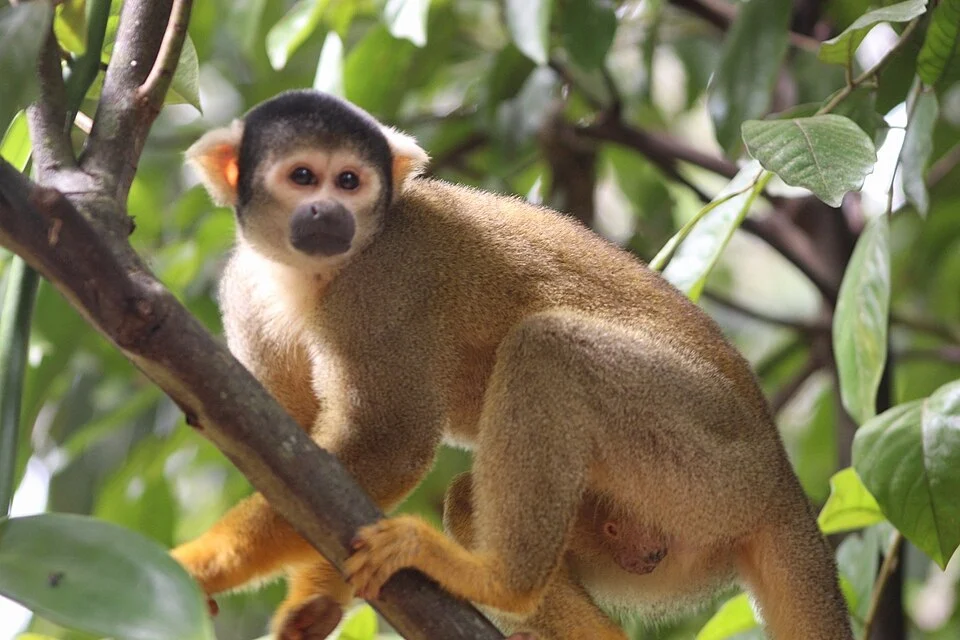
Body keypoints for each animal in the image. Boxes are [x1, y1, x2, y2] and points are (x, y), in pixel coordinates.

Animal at [172, 89, 853, 640]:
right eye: (302, 176)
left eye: (349, 182)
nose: (327, 214)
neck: (307, 275)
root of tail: (782, 482)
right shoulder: (244, 290)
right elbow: (291, 459)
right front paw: (317, 598)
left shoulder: (385, 283)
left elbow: (388, 444)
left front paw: (201, 564)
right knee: (476, 492)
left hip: (712, 465)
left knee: (549, 349)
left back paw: (500, 581)